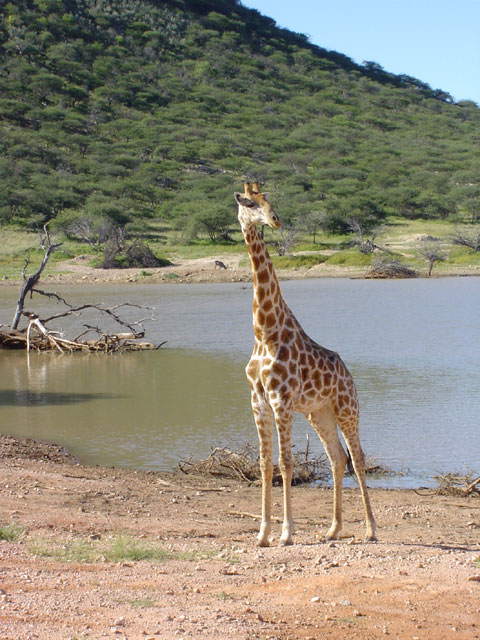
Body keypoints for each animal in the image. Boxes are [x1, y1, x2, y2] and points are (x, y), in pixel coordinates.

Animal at [234, 182, 376, 548]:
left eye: (269, 200)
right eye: (248, 202)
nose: (275, 220)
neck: (264, 331)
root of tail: (350, 375)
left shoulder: (281, 402)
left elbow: (286, 463)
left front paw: (286, 533)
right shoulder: (258, 402)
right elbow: (265, 464)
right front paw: (263, 534)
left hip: (347, 408)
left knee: (358, 458)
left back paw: (371, 529)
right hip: (318, 412)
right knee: (338, 458)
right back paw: (333, 529)